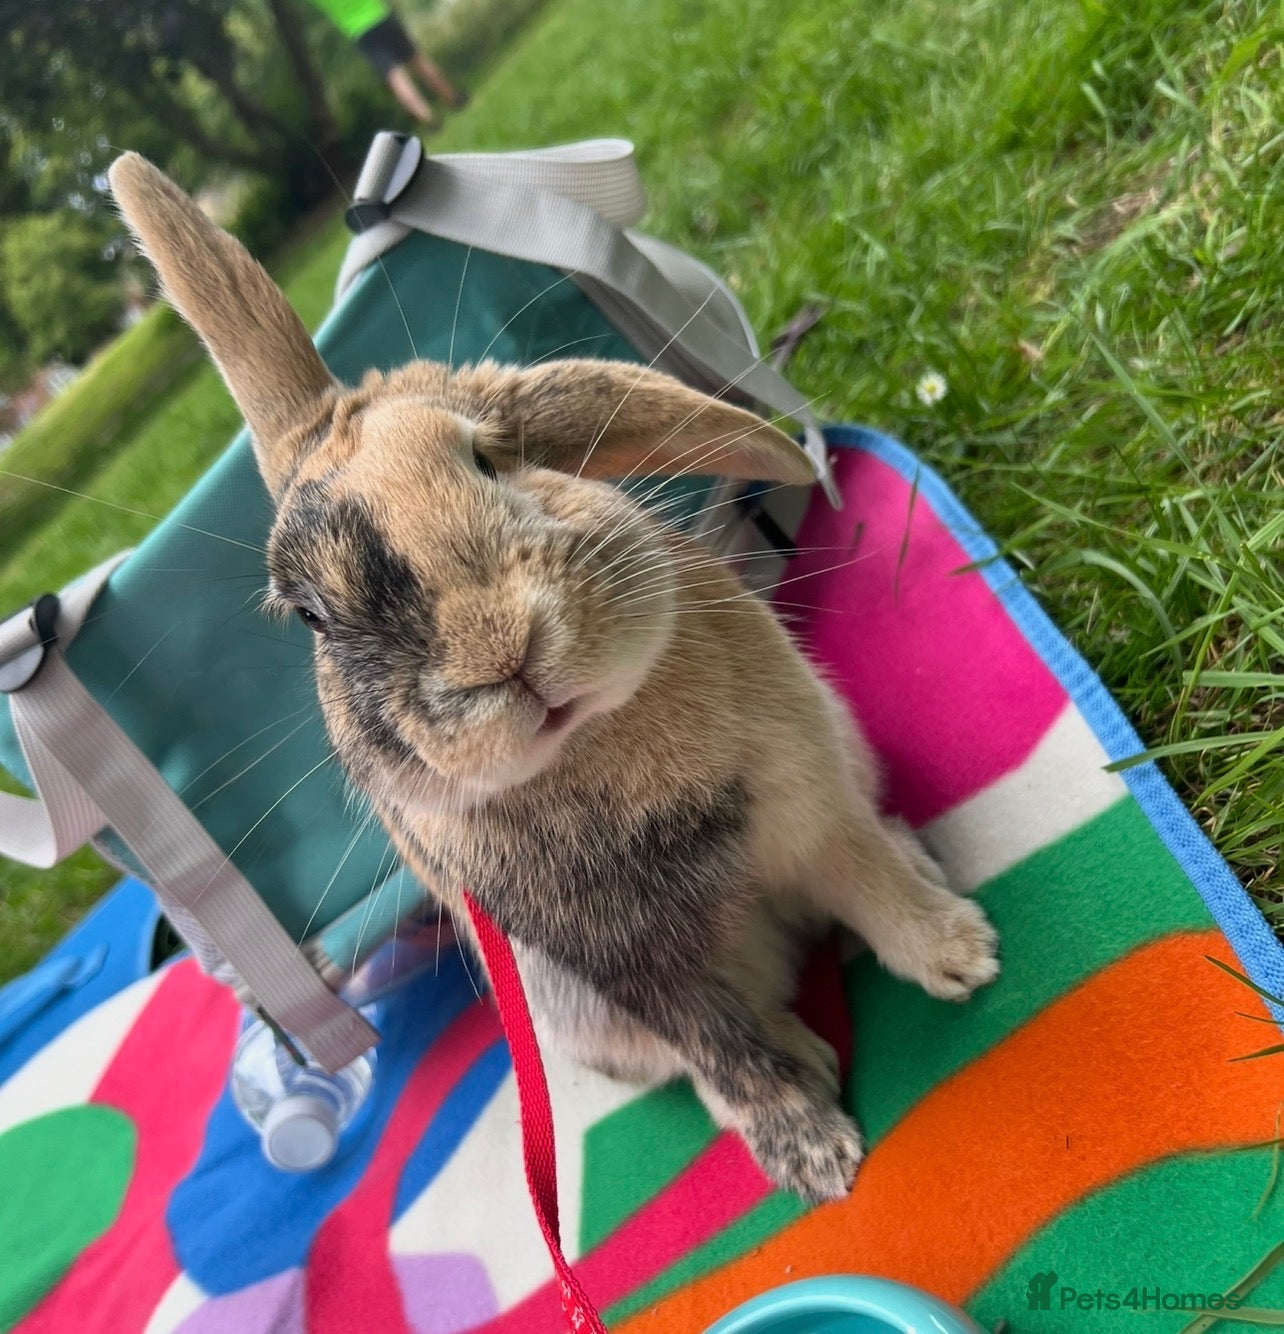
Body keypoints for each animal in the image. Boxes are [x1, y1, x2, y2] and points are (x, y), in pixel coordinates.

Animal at [108, 151, 1000, 1204]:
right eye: (313, 615)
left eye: (490, 460)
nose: (500, 650)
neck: (590, 741)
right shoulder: (625, 969)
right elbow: (721, 1046)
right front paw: (814, 1160)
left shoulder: (810, 805)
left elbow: (865, 882)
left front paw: (962, 958)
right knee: (719, 1045)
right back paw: (804, 1052)